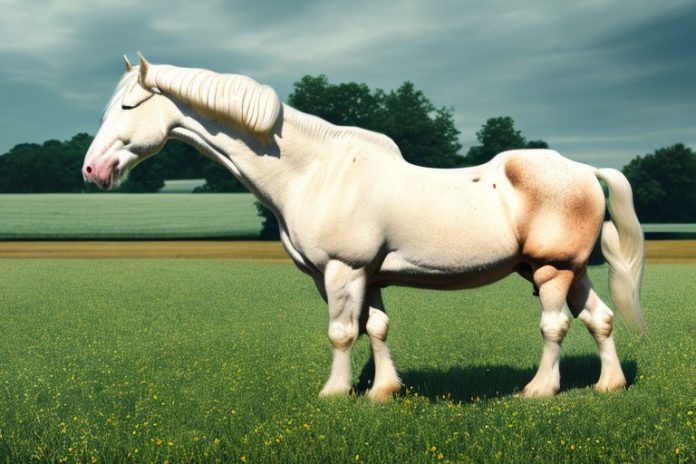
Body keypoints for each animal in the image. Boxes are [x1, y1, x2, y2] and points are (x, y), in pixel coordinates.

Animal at [83, 54, 645, 401]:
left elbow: (341, 332)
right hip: (569, 270)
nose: (92, 170)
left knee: (555, 326)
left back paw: (539, 389)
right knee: (600, 319)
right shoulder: (368, 276)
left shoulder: (341, 270)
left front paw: (334, 393)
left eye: (129, 105)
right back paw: (609, 385)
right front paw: (383, 391)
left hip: (551, 270)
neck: (313, 171)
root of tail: (584, 169)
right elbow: (376, 328)